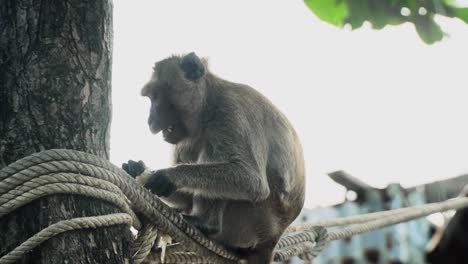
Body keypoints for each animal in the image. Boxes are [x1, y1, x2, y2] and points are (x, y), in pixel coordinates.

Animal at [124, 52, 306, 262]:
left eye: (155, 97)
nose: (150, 120)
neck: (209, 104)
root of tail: (271, 240)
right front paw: (137, 169)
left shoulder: (231, 112)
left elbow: (252, 181)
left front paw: (168, 175)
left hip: (251, 223)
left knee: (213, 151)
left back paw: (205, 223)